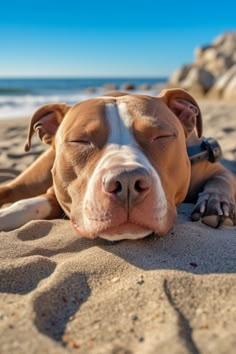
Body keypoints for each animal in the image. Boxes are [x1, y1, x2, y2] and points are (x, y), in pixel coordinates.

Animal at [0, 89, 236, 241]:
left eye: (161, 136)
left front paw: (215, 203)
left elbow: (221, 180)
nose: (127, 182)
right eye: (80, 141)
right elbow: (28, 204)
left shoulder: (216, 167)